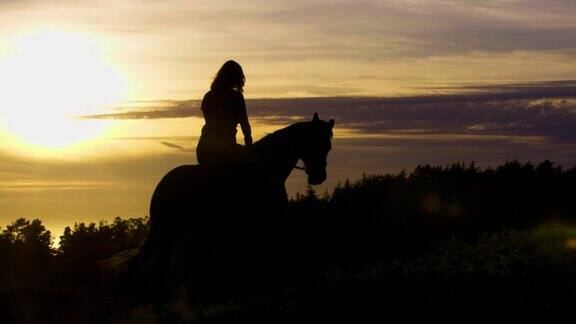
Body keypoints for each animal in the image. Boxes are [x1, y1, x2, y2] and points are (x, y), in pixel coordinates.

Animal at [111, 112, 332, 306]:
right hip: (168, 231)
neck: (268, 167)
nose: (319, 177)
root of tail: (162, 185)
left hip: (174, 234)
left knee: (162, 267)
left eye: (328, 147)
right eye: (316, 142)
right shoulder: (262, 227)